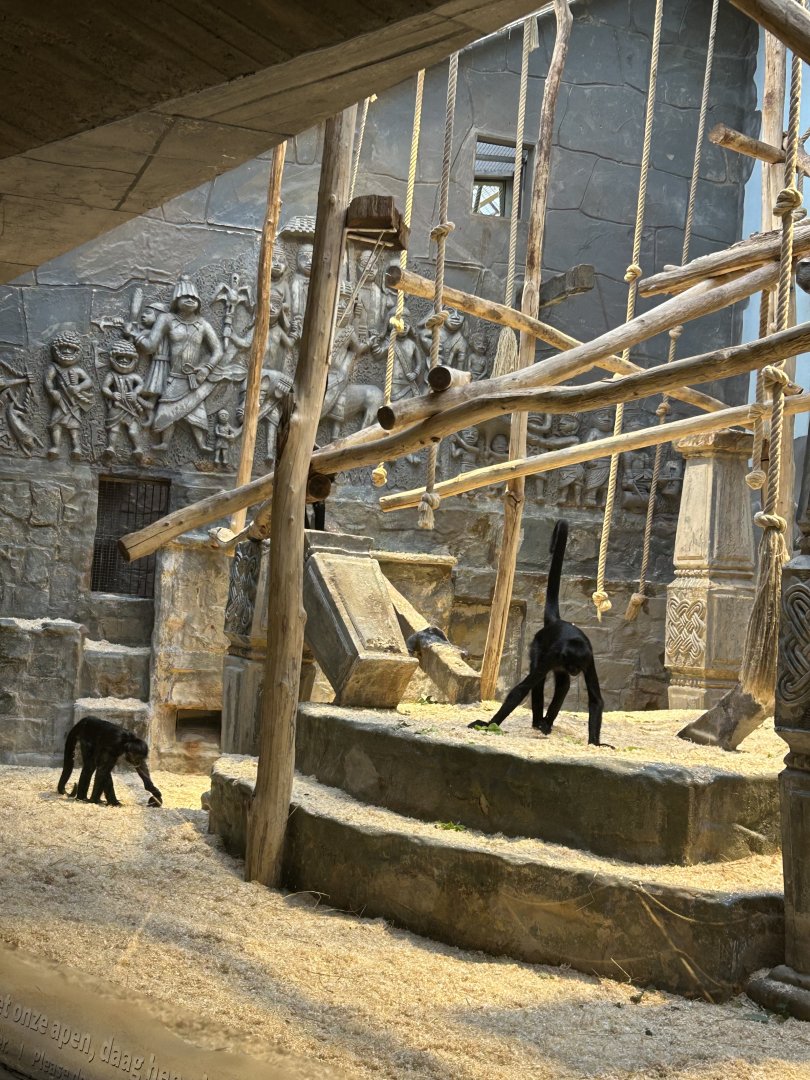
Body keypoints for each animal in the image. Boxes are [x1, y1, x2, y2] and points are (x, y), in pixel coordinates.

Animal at [470, 519, 605, 745]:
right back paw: (538, 722)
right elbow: (522, 689)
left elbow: (595, 700)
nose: (574, 670)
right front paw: (489, 725)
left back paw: (546, 724)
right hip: (538, 645)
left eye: (577, 666)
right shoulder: (555, 655)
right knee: (543, 681)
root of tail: (557, 621)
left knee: (563, 683)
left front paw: (595, 744)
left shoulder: (587, 659)